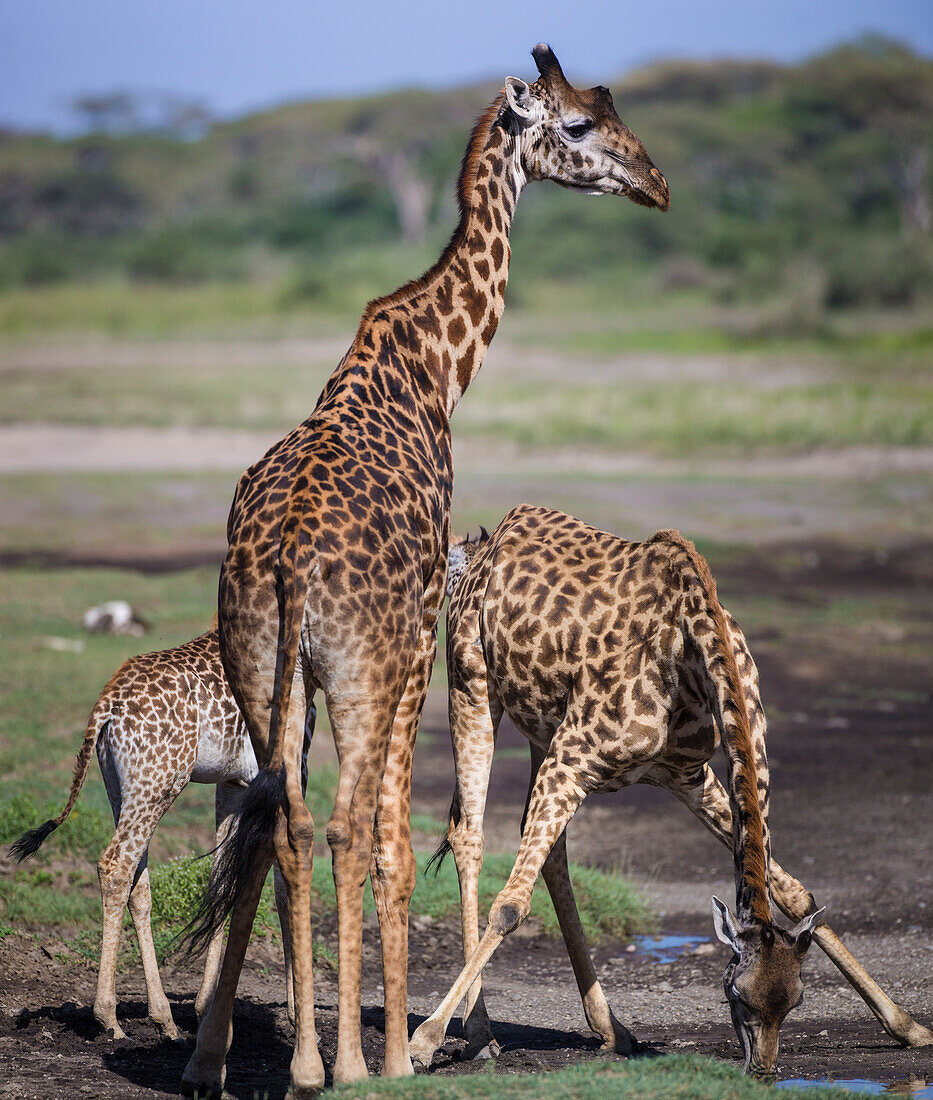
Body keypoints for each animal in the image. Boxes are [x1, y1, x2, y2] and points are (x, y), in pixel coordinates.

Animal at [177, 45, 668, 1100]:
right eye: (577, 123)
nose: (655, 182)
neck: (436, 365)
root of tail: (286, 559)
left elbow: (279, 832)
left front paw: (223, 1048)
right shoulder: (411, 649)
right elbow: (398, 841)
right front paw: (407, 1048)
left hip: (259, 664)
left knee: (280, 823)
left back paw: (262, 1058)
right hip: (361, 673)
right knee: (341, 829)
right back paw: (347, 1063)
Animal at [409, 510, 933, 1078]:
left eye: (795, 1001)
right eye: (737, 995)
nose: (762, 1069)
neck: (694, 653)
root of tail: (473, 550)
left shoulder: (686, 774)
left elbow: (794, 892)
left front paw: (908, 1026)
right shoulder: (574, 758)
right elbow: (509, 906)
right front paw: (423, 1040)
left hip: (542, 731)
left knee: (548, 850)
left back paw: (613, 1030)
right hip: (472, 683)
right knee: (470, 836)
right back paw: (479, 1034)